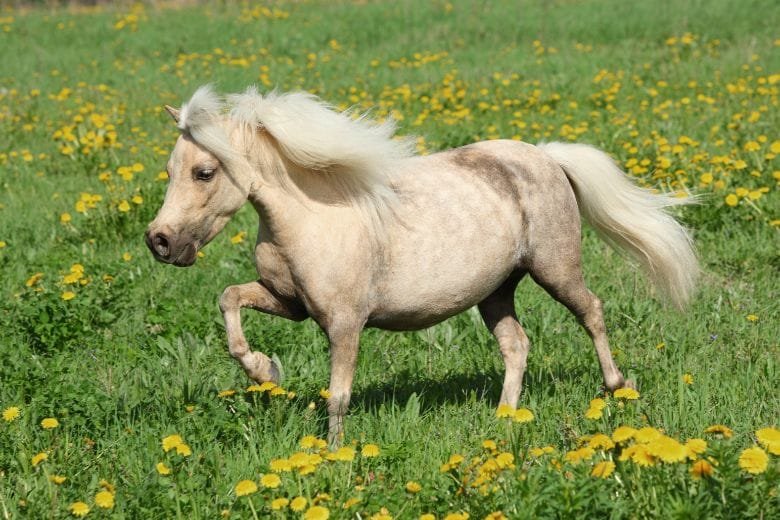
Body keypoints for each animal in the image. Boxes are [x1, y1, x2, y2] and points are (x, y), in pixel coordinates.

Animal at [146, 85, 698, 445]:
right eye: (170, 170)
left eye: (204, 171)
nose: (160, 242)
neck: (313, 215)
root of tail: (546, 157)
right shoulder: (289, 303)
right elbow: (230, 299)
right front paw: (265, 371)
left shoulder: (345, 323)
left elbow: (338, 394)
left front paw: (332, 454)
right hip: (496, 291)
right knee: (517, 345)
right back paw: (503, 418)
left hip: (555, 268)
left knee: (592, 312)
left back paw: (617, 388)